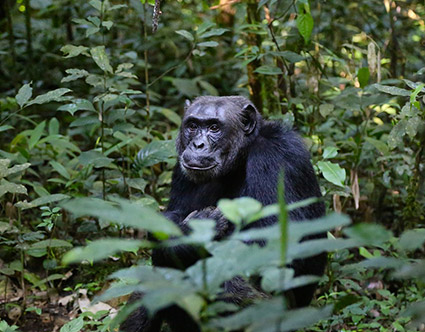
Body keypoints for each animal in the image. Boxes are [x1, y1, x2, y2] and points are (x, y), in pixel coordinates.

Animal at [121, 96, 326, 332]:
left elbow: (280, 243)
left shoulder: (277, 157)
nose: (198, 145)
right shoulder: (180, 170)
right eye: (192, 126)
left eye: (214, 127)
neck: (240, 159)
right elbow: (172, 217)